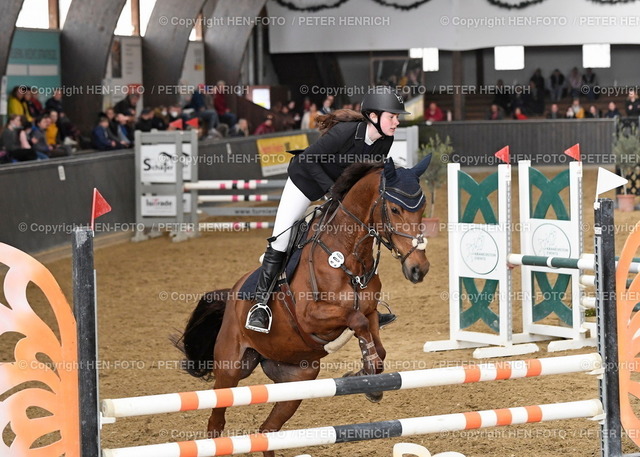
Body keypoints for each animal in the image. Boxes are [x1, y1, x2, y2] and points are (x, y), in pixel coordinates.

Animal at [178, 156, 432, 452]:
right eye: (394, 208)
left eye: (422, 208)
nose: (419, 269)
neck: (348, 254)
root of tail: (231, 295)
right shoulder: (312, 316)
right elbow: (355, 320)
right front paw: (367, 373)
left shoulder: (370, 312)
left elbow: (377, 348)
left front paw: (367, 378)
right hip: (231, 369)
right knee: (216, 421)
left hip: (297, 380)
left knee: (267, 430)